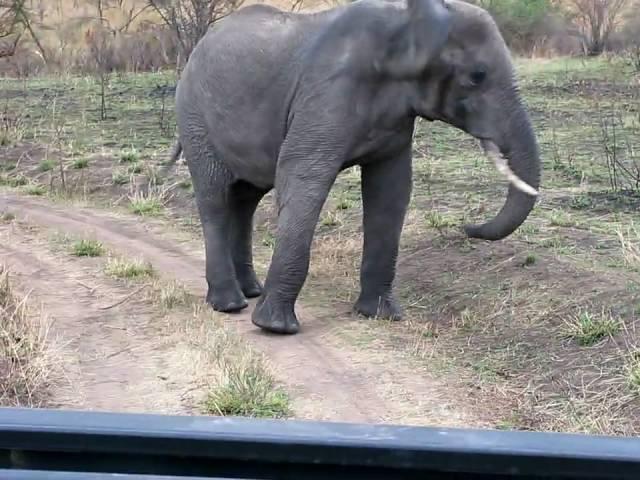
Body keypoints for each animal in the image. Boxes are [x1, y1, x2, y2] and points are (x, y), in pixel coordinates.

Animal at [166, 0, 540, 334]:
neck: (407, 17)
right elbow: (302, 178)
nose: (467, 227)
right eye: (477, 76)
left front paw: (382, 316)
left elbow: (391, 190)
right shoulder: (327, 92)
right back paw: (229, 304)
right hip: (195, 118)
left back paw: (251, 291)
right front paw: (275, 328)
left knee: (246, 199)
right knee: (215, 199)